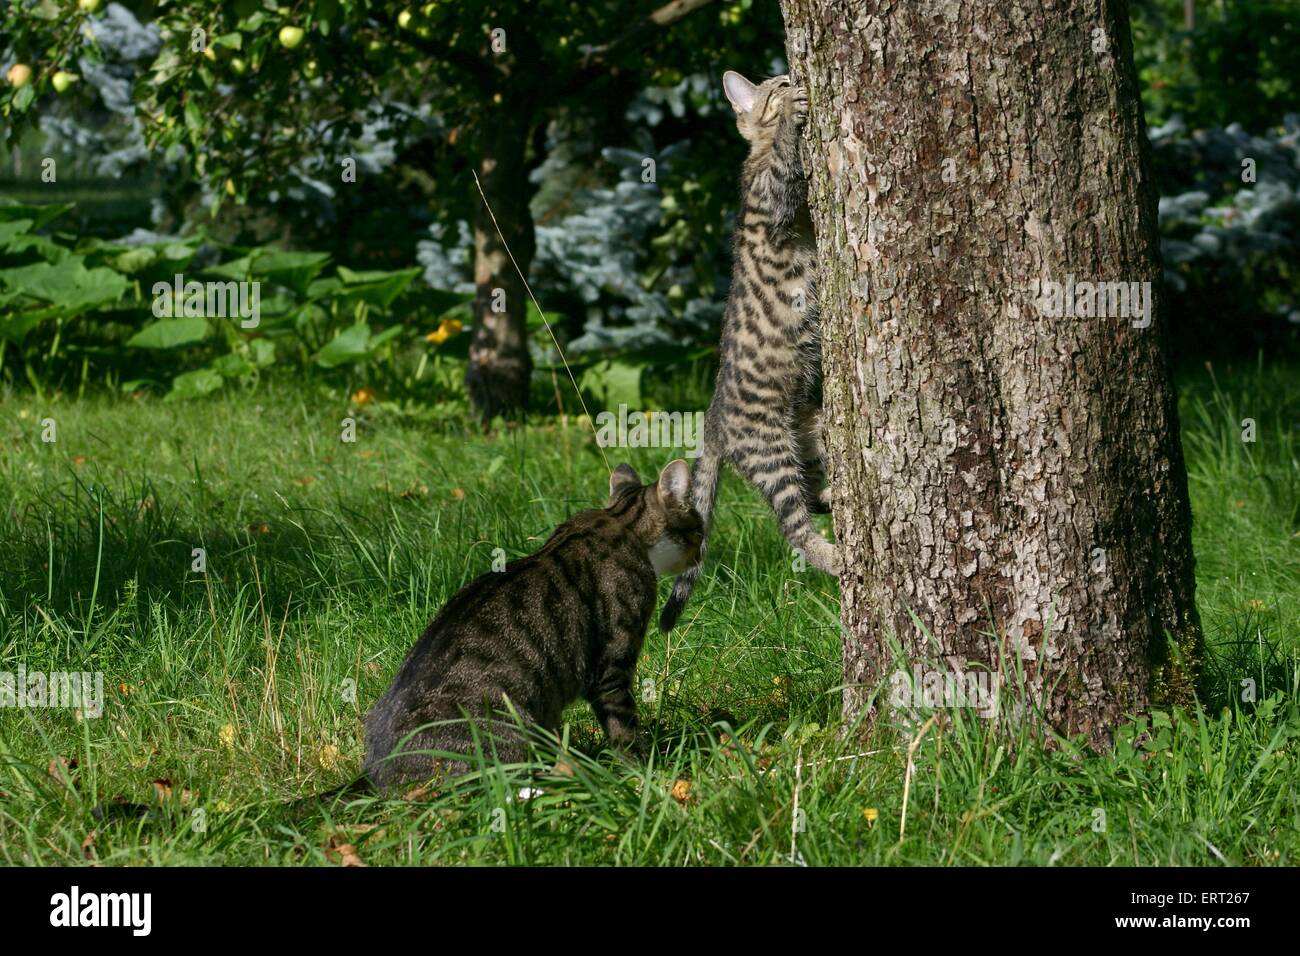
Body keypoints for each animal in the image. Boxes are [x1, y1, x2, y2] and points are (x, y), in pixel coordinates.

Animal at [361, 460, 707, 790]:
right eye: (699, 528)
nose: (703, 553)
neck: (624, 522)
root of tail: (374, 777)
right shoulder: (611, 667)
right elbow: (623, 728)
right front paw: (644, 769)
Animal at [660, 69, 842, 634]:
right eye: (776, 82)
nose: (790, 74)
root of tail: (713, 421)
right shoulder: (774, 189)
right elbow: (786, 157)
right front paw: (791, 114)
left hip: (811, 427)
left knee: (812, 492)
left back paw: (831, 497)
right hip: (769, 450)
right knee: (793, 525)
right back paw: (833, 556)